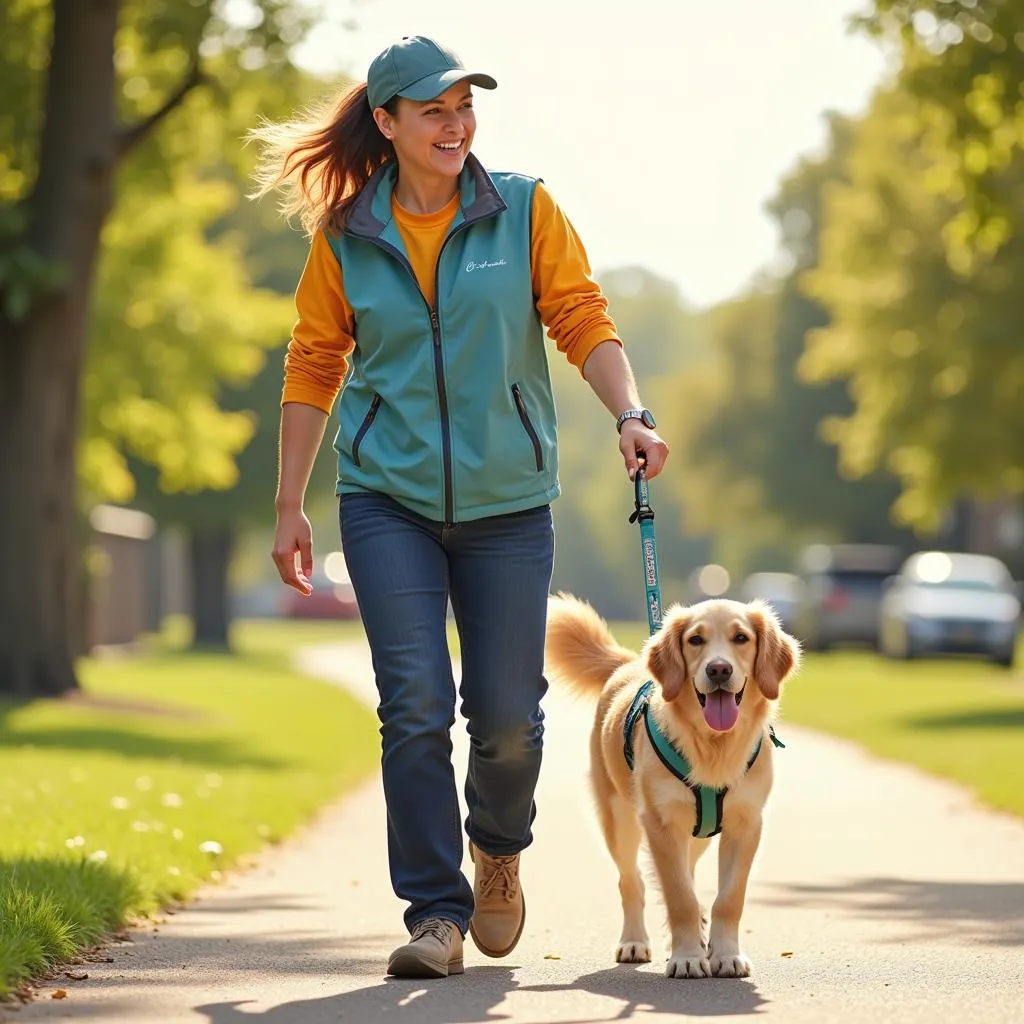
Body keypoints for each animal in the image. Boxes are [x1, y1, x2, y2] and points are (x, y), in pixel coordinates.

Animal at [544, 598, 798, 978]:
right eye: (695, 640)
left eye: (741, 638)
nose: (719, 670)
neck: (713, 746)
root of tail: (628, 663)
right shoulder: (660, 823)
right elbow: (679, 896)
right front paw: (688, 957)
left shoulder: (746, 824)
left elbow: (728, 898)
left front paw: (725, 954)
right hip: (619, 819)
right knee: (631, 882)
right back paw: (635, 941)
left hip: (698, 836)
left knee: (686, 871)